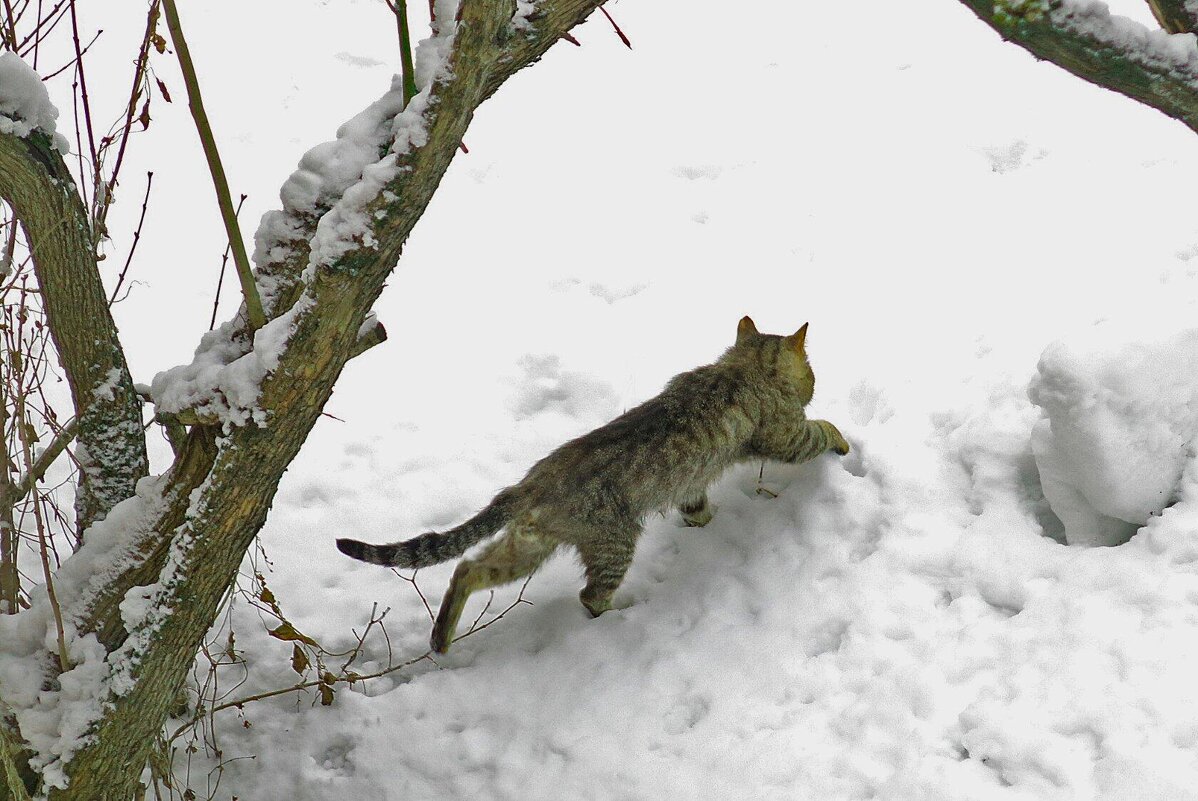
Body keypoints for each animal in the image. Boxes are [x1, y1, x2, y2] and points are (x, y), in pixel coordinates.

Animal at [333, 316, 848, 651]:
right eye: (813, 373)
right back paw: (624, 612)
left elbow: (696, 507)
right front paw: (844, 442)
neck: (740, 368)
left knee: (468, 568)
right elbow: (821, 429)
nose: (814, 383)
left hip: (528, 546)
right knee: (591, 597)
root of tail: (532, 482)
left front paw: (705, 523)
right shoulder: (786, 435)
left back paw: (442, 639)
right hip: (612, 543)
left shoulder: (691, 483)